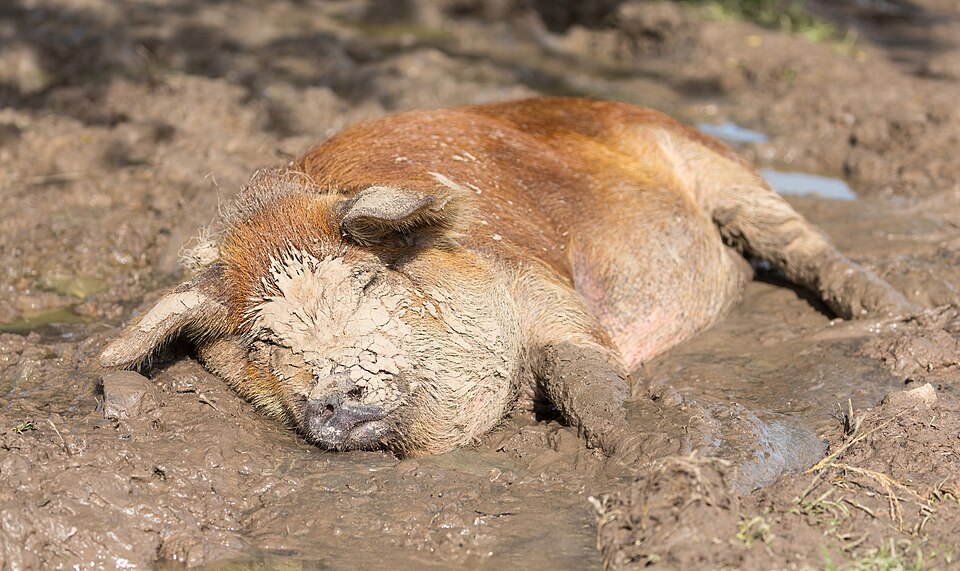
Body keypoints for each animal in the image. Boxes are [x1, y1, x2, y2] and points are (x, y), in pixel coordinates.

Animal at [100, 97, 915, 458]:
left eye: (366, 284)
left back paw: (899, 317)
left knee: (807, 246)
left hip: (721, 168)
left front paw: (655, 444)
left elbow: (582, 371)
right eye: (263, 340)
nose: (334, 388)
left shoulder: (541, 285)